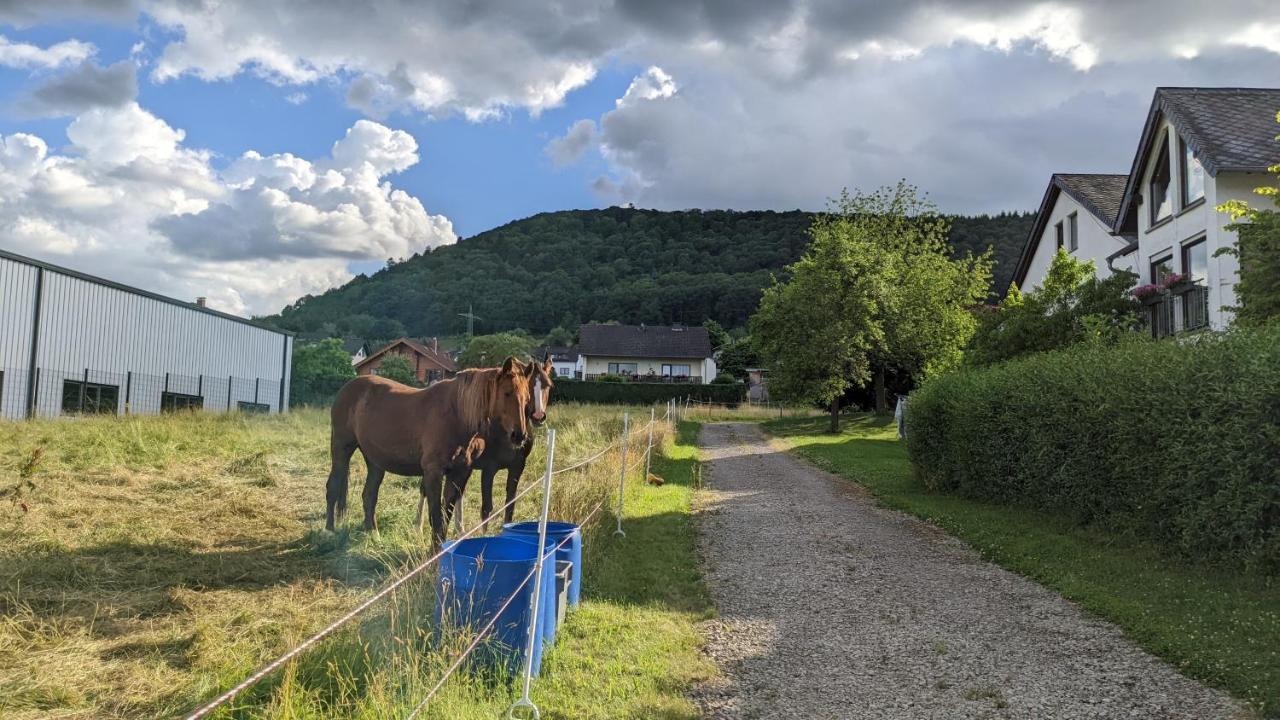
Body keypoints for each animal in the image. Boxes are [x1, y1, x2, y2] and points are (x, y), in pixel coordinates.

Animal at [330, 356, 535, 545]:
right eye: (507, 393)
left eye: (527, 398)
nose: (519, 436)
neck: (456, 414)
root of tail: (346, 389)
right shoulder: (434, 472)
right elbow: (436, 517)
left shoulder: (458, 473)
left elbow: (446, 515)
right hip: (341, 450)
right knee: (332, 485)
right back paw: (330, 531)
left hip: (375, 462)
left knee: (369, 496)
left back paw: (374, 535)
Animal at [442, 356, 552, 530]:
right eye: (529, 386)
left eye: (547, 385)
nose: (538, 416)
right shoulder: (489, 469)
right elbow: (487, 509)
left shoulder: (517, 467)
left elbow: (510, 505)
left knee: (457, 494)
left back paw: (460, 529)